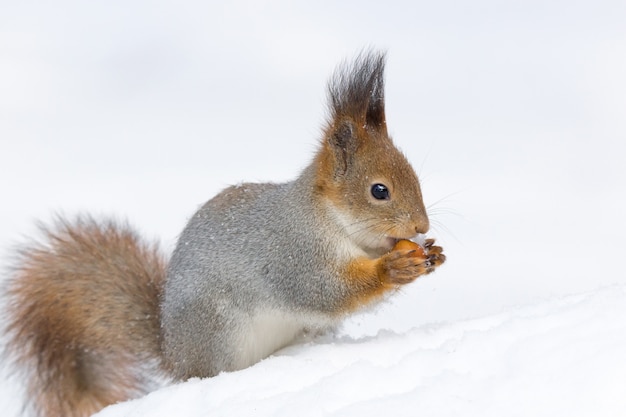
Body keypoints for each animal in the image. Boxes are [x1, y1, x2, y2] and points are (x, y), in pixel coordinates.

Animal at [3, 51, 444, 416]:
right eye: (379, 191)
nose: (421, 227)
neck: (336, 225)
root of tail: (173, 352)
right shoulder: (293, 252)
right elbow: (324, 290)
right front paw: (392, 268)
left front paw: (433, 254)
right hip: (217, 329)